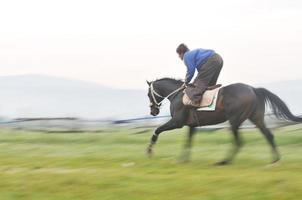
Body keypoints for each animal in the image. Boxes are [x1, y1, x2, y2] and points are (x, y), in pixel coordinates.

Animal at [145, 77, 300, 165]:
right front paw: (183, 159)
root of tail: (253, 89)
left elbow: (157, 130)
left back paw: (225, 161)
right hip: (256, 118)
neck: (178, 95)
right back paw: (275, 160)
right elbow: (188, 142)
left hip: (235, 120)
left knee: (239, 142)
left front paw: (149, 151)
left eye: (148, 94)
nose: (153, 111)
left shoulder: (177, 123)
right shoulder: (192, 125)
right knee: (269, 135)